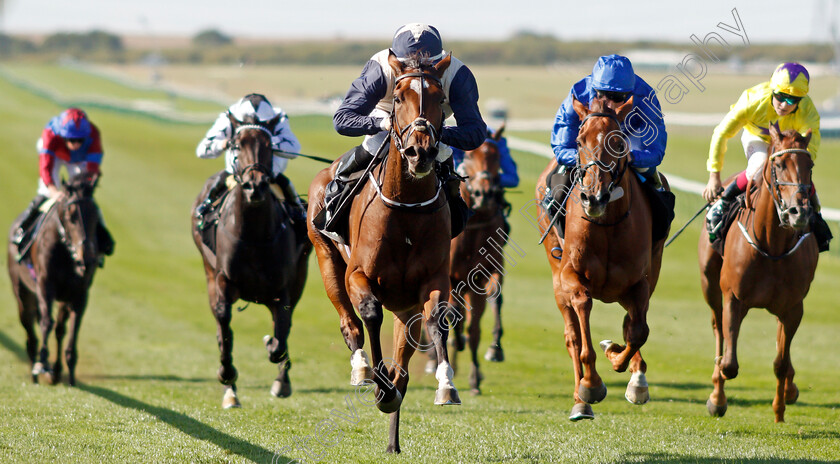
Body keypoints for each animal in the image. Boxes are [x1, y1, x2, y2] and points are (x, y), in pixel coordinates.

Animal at [306, 51, 460, 454]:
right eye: (400, 95)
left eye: (439, 97)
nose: (420, 152)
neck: (405, 207)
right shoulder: (359, 274)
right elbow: (370, 313)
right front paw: (379, 386)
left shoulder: (433, 281)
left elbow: (437, 320)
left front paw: (446, 385)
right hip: (327, 259)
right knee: (349, 322)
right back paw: (362, 369)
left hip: (405, 309)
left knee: (404, 361)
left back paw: (393, 438)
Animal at [540, 97, 668, 420]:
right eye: (579, 140)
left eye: (619, 142)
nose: (594, 197)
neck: (608, 224)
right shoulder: (570, 276)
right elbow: (583, 317)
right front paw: (591, 385)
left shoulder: (639, 283)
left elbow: (638, 331)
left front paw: (624, 365)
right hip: (557, 278)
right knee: (572, 335)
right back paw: (580, 400)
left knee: (631, 321)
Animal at [696, 122, 820, 420]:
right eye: (779, 164)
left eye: (809, 164)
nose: (799, 212)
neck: (771, 245)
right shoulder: (732, 298)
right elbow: (729, 363)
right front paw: (717, 397)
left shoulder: (793, 307)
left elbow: (780, 362)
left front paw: (781, 405)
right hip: (709, 285)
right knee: (718, 331)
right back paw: (716, 394)